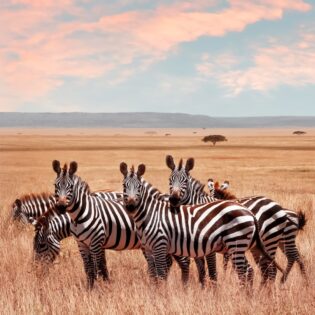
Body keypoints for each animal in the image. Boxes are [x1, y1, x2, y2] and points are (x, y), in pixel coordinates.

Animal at [51, 160, 190, 288]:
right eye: (55, 185)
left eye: (70, 187)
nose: (61, 207)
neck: (80, 215)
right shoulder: (81, 244)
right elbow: (89, 269)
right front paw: (90, 289)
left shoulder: (96, 242)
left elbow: (98, 268)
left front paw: (100, 289)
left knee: (183, 262)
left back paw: (184, 286)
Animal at [119, 162, 284, 288]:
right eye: (124, 186)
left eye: (139, 187)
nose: (131, 207)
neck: (150, 214)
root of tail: (249, 213)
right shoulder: (151, 248)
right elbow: (156, 274)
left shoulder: (162, 245)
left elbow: (162, 274)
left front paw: (163, 295)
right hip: (244, 246)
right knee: (254, 270)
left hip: (245, 242)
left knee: (256, 270)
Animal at [168, 156, 292, 286]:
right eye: (170, 180)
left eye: (185, 181)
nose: (174, 199)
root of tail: (278, 206)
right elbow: (201, 267)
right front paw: (202, 286)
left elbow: (213, 267)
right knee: (265, 268)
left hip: (270, 240)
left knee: (271, 268)